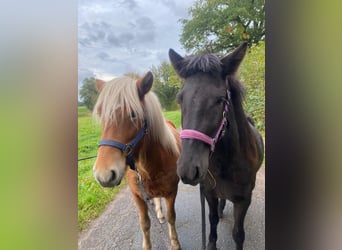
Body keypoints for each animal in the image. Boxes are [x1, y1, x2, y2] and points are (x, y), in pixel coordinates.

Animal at [91, 71, 182, 249]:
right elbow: (144, 223)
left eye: (133, 114)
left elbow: (172, 217)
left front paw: (175, 243)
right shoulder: (137, 196)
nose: (103, 175)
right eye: (101, 114)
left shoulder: (172, 192)